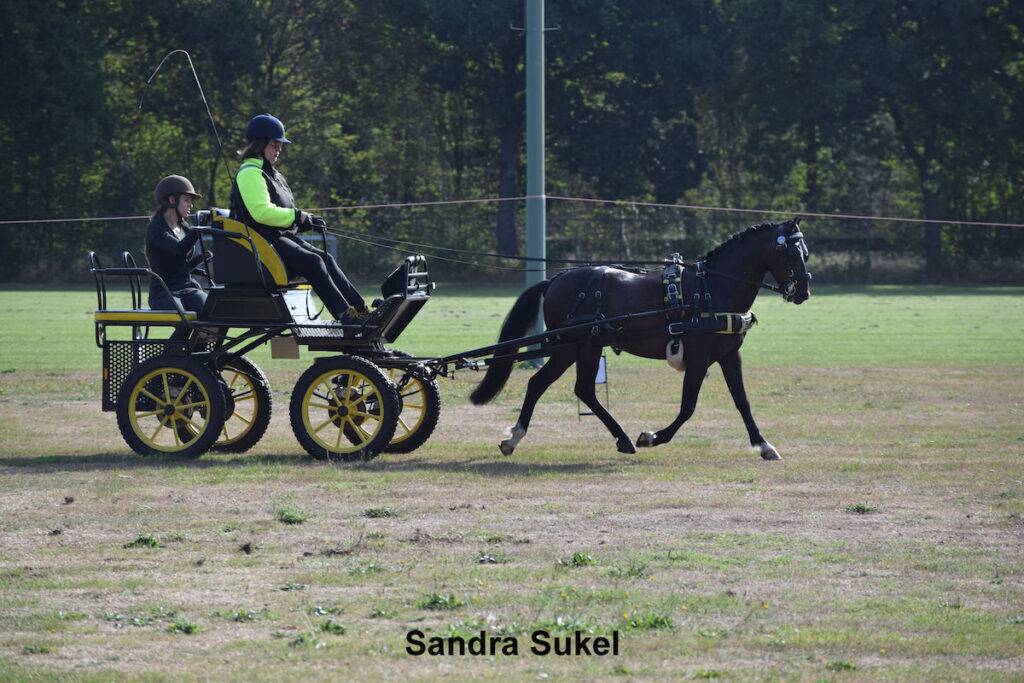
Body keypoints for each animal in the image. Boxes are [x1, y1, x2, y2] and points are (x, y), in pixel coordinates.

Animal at [469, 218, 812, 459]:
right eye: (791, 252)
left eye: (805, 252)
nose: (804, 292)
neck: (712, 288)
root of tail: (557, 278)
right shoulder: (699, 359)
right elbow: (688, 407)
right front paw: (653, 437)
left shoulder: (729, 355)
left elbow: (742, 401)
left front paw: (764, 445)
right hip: (577, 346)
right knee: (555, 386)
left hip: (583, 347)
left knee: (563, 387)